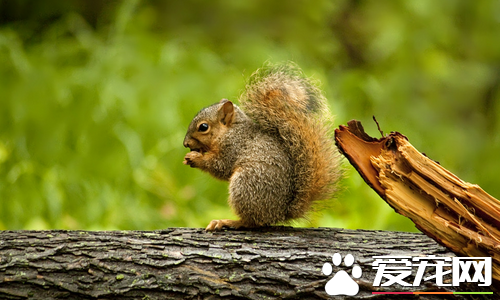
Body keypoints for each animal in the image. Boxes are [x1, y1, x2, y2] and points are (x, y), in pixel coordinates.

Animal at [184, 63, 344, 232]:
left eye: (203, 127)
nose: (185, 144)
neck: (231, 130)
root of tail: (279, 213)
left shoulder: (233, 147)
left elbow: (220, 166)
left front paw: (195, 158)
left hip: (245, 185)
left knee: (252, 222)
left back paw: (228, 222)